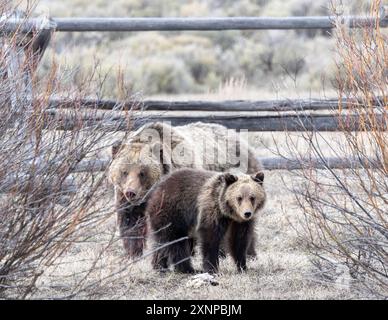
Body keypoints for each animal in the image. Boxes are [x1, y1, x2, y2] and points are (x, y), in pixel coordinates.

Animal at [107, 121, 262, 258]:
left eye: (142, 172)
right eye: (124, 171)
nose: (131, 192)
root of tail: (242, 141)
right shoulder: (126, 201)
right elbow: (130, 223)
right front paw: (133, 254)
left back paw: (247, 253)